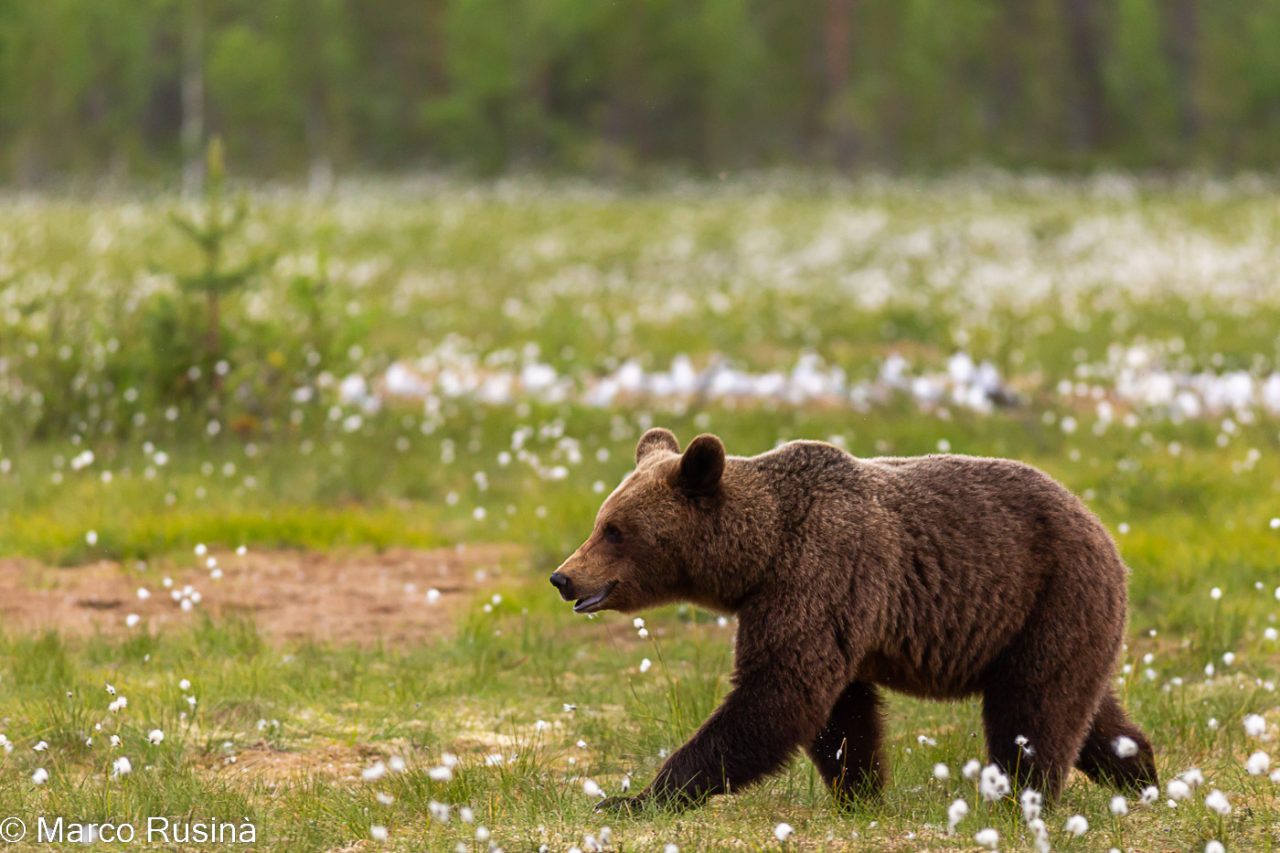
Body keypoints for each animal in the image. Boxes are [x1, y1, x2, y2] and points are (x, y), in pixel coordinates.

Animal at [550, 427, 1162, 809]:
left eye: (615, 530)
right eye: (601, 520)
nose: (563, 577)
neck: (760, 555)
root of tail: (1104, 530)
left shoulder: (820, 575)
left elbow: (778, 696)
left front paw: (635, 798)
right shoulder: (823, 609)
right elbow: (840, 714)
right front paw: (861, 792)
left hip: (1048, 597)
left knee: (1033, 713)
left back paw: (1019, 799)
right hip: (1056, 622)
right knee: (1087, 710)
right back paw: (1142, 777)